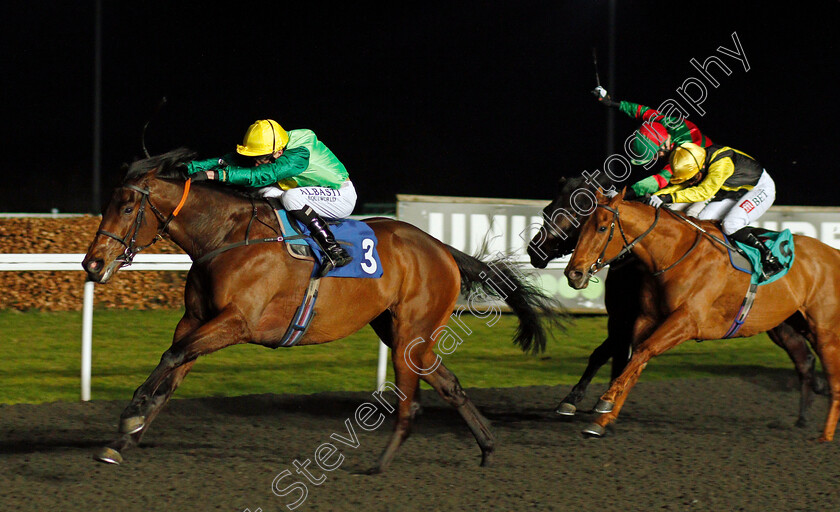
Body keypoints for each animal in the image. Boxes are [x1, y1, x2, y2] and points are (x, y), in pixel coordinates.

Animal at [82, 147, 564, 468]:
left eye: (128, 205)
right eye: (107, 204)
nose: (92, 264)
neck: (226, 238)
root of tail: (442, 248)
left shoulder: (236, 322)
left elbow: (172, 358)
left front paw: (130, 417)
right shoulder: (196, 320)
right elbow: (172, 374)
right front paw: (121, 441)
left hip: (410, 332)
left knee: (412, 401)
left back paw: (381, 462)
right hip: (398, 330)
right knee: (449, 384)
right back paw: (487, 446)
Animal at [532, 174, 828, 426]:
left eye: (575, 215)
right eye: (547, 209)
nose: (535, 251)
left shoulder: (642, 318)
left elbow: (616, 353)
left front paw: (590, 401)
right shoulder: (623, 316)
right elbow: (606, 355)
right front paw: (579, 401)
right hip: (782, 325)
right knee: (804, 359)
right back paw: (804, 416)